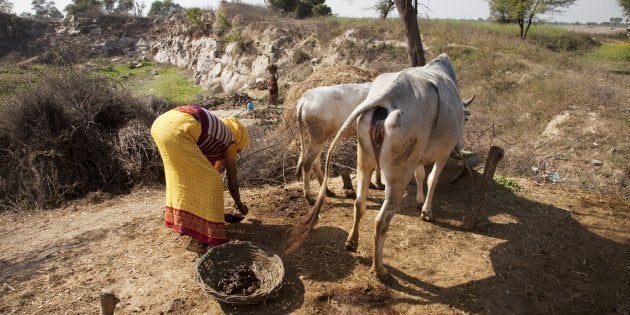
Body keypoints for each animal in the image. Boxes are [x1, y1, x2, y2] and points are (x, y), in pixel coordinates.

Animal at [286, 54, 474, 282]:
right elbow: (431, 179)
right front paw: (425, 210)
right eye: (465, 117)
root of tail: (305, 97)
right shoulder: (439, 154)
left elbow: (416, 173)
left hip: (326, 140)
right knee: (308, 164)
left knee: (319, 166)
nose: (460, 147)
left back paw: (330, 195)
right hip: (320, 138)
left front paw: (381, 184)